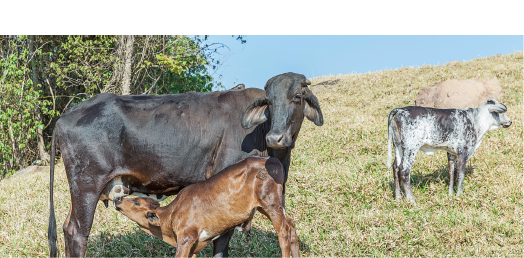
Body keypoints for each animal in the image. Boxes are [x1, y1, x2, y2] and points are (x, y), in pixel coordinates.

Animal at [116, 156, 300, 256]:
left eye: (136, 201)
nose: (117, 200)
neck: (170, 215)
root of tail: (272, 159)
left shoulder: (186, 237)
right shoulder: (195, 246)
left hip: (270, 203)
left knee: (284, 231)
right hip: (267, 206)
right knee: (291, 224)